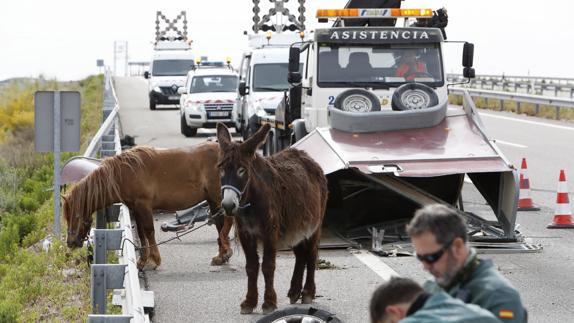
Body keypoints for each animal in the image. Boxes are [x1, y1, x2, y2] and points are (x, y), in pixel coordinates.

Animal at [62, 143, 234, 270]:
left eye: (76, 216)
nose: (71, 242)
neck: (125, 173)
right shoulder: (135, 208)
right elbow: (141, 232)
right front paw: (143, 260)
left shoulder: (143, 206)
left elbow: (149, 231)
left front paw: (154, 260)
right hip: (212, 201)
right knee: (220, 224)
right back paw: (221, 256)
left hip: (217, 198)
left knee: (226, 222)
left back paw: (226, 253)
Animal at [216, 123, 328, 314]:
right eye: (221, 169)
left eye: (242, 170)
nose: (228, 206)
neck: (251, 203)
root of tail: (306, 157)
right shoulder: (246, 234)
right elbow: (251, 266)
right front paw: (249, 302)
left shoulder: (270, 232)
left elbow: (268, 265)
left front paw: (268, 303)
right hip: (296, 228)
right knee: (301, 255)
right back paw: (294, 292)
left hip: (315, 226)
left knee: (311, 254)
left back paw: (307, 293)